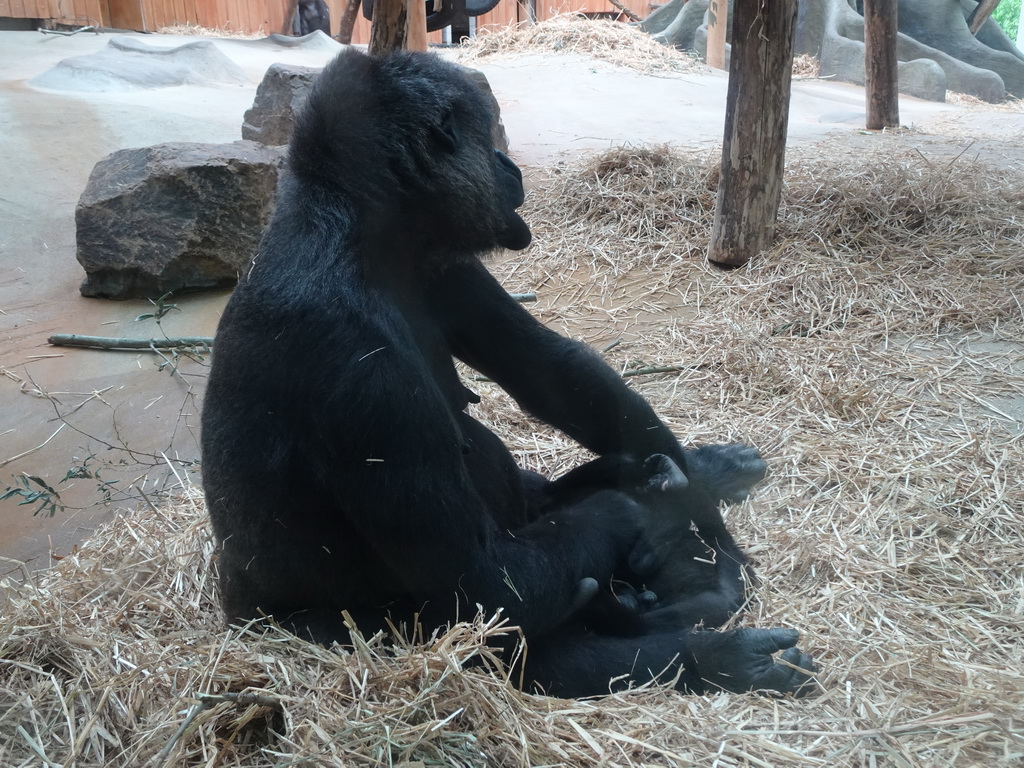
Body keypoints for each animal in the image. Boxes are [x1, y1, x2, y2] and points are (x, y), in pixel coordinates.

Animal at [203, 46, 815, 696]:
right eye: (484, 136)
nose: (505, 163)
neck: (358, 233)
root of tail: (236, 611)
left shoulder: (447, 265)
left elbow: (556, 375)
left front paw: (700, 506)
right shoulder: (354, 365)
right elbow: (481, 587)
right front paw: (644, 511)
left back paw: (706, 486)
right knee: (539, 645)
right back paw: (720, 654)